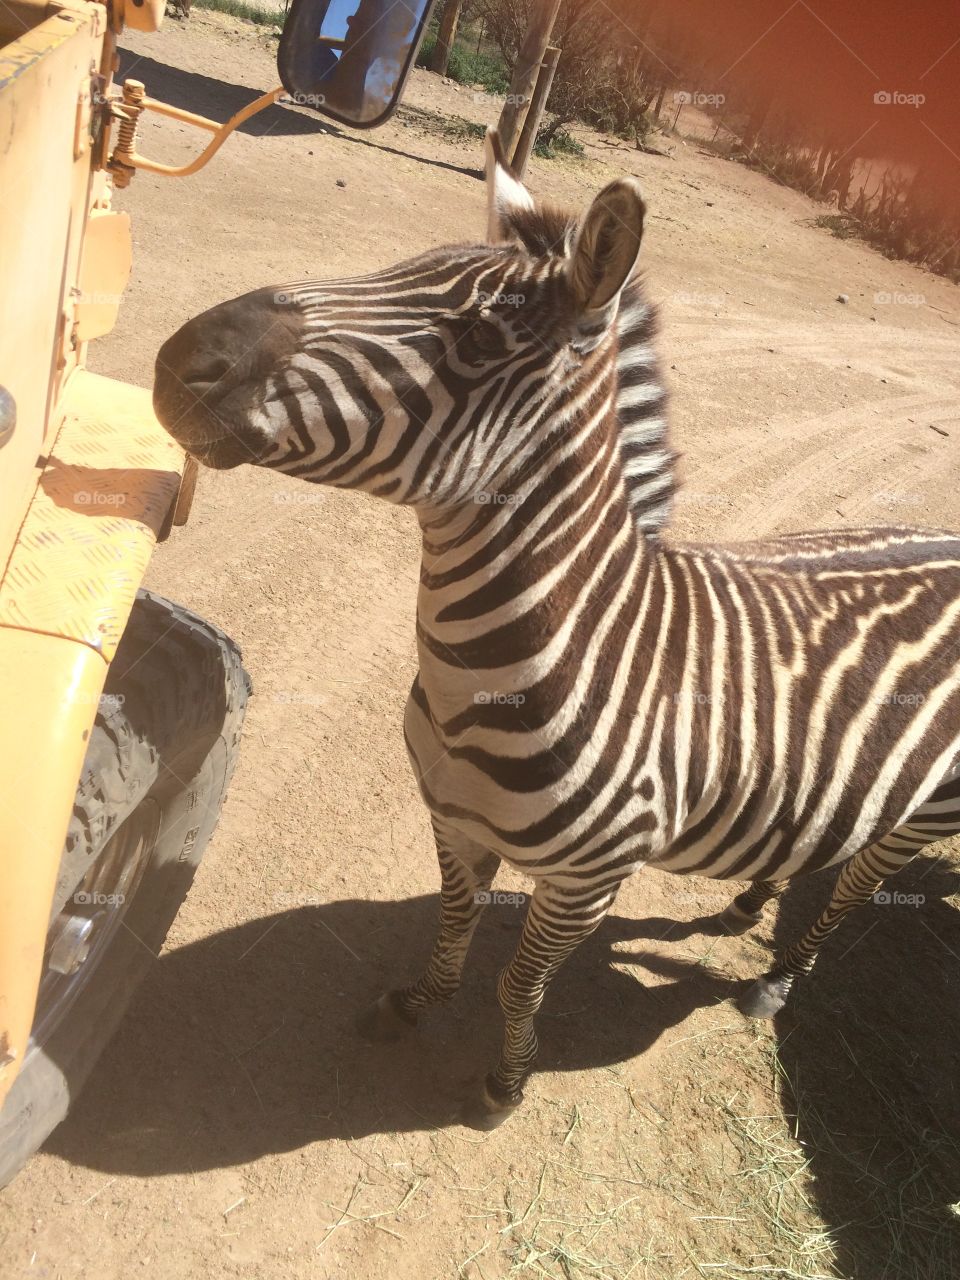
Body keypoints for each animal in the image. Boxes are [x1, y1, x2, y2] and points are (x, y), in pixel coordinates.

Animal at [153, 130, 960, 1129]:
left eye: (477, 340)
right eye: (392, 266)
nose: (180, 356)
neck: (493, 676)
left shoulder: (587, 883)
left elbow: (519, 984)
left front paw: (505, 1082)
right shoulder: (453, 823)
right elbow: (452, 927)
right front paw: (415, 1003)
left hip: (932, 809)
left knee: (852, 887)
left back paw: (775, 982)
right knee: (824, 839)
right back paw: (748, 905)